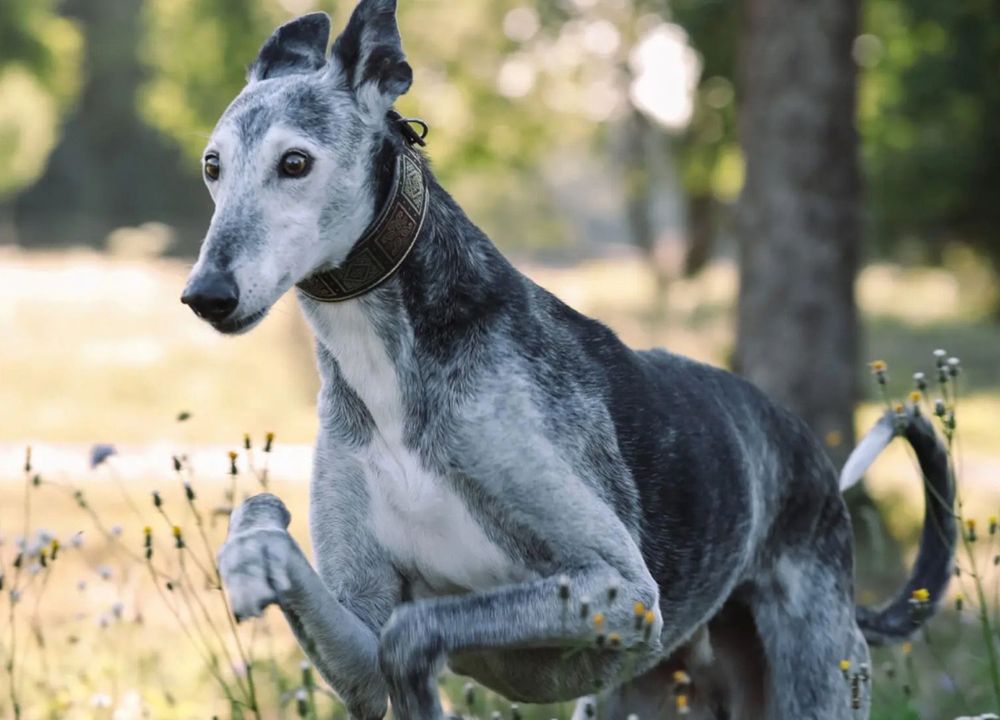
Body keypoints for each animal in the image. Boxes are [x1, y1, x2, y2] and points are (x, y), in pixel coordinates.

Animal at [184, 2, 956, 716]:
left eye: (295, 163)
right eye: (212, 166)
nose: (205, 297)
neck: (396, 370)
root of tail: (813, 460)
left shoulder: (619, 591)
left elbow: (415, 629)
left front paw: (421, 684)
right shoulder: (358, 646)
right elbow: (272, 523)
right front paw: (248, 557)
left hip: (812, 676)